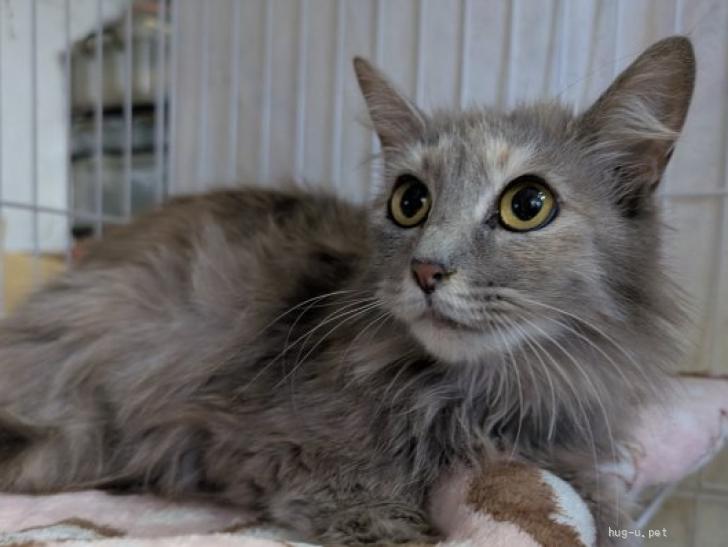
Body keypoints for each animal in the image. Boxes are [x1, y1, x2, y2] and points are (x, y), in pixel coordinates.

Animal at [0, 36, 694, 546]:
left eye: (528, 205)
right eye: (410, 201)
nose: (426, 270)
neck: (482, 396)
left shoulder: (564, 439)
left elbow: (602, 502)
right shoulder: (271, 446)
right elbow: (378, 511)